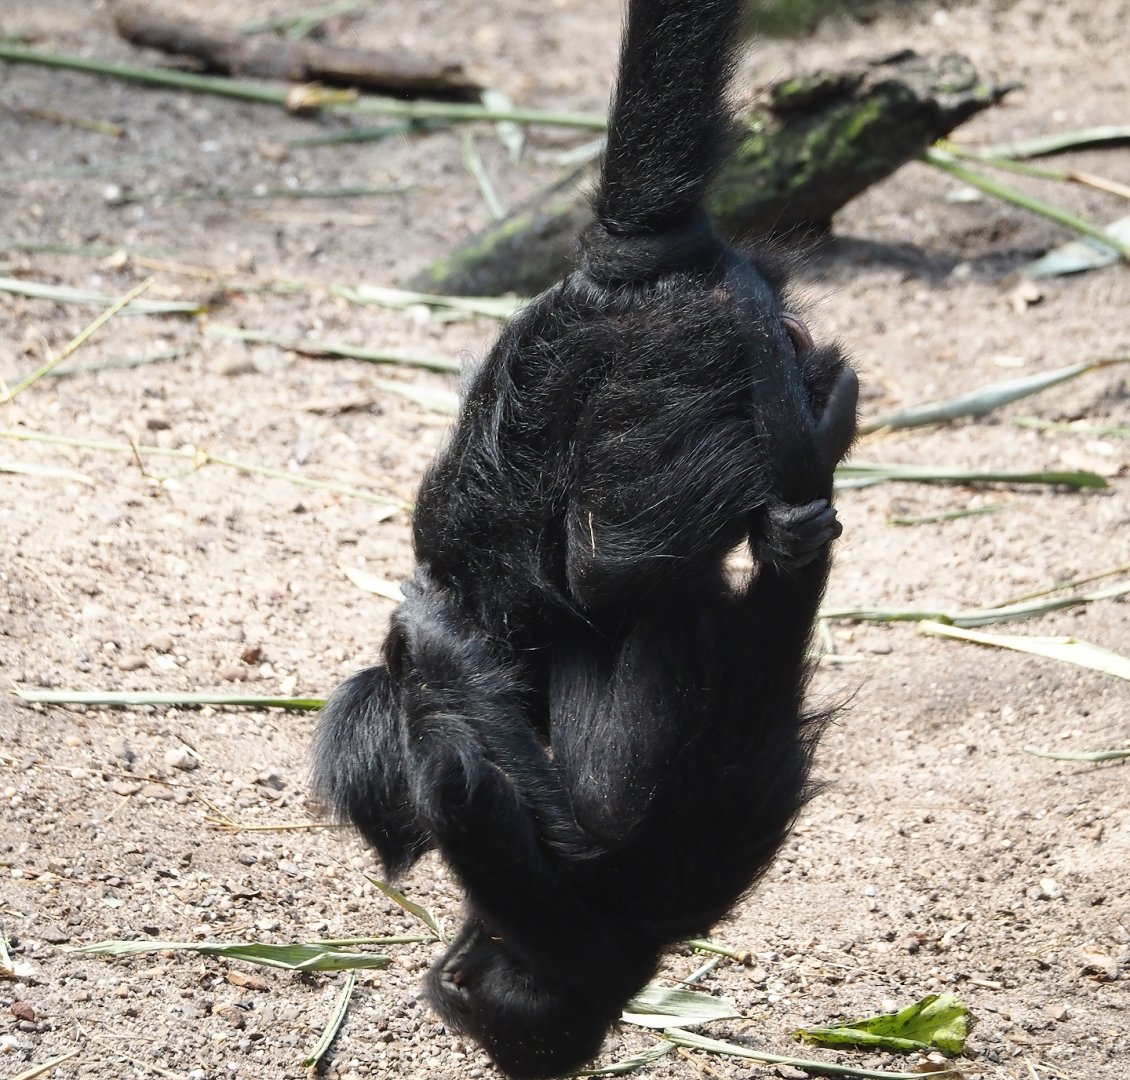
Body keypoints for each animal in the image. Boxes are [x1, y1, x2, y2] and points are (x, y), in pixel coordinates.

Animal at [313, 0, 858, 1076]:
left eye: (470, 993)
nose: (451, 973)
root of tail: (622, 277)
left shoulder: (560, 923)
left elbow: (551, 828)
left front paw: (431, 675)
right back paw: (813, 442)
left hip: (618, 387)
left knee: (590, 572)